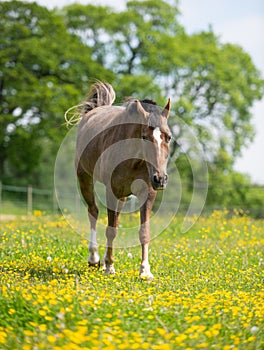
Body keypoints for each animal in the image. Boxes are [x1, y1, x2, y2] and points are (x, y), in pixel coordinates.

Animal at [73, 80, 171, 280]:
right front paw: (109, 266)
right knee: (93, 212)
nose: (160, 179)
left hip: (123, 196)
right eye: (144, 136)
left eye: (169, 137)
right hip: (84, 178)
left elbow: (143, 232)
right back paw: (94, 259)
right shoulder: (111, 191)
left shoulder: (147, 193)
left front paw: (145, 271)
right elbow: (111, 229)